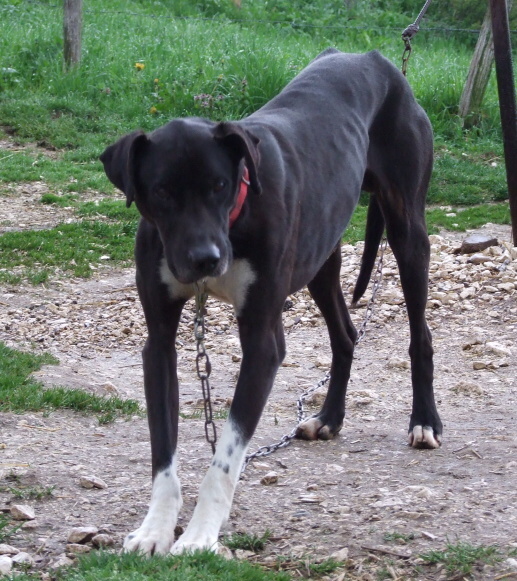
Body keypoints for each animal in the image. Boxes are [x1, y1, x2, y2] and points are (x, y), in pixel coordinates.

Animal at [100, 48, 442, 555]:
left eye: (220, 185)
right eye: (161, 191)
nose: (206, 259)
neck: (236, 217)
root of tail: (374, 58)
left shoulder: (262, 341)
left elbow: (225, 458)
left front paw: (200, 536)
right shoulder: (158, 343)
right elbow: (163, 449)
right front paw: (154, 529)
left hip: (407, 231)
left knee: (420, 335)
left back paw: (425, 422)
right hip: (321, 258)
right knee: (345, 335)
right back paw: (328, 417)